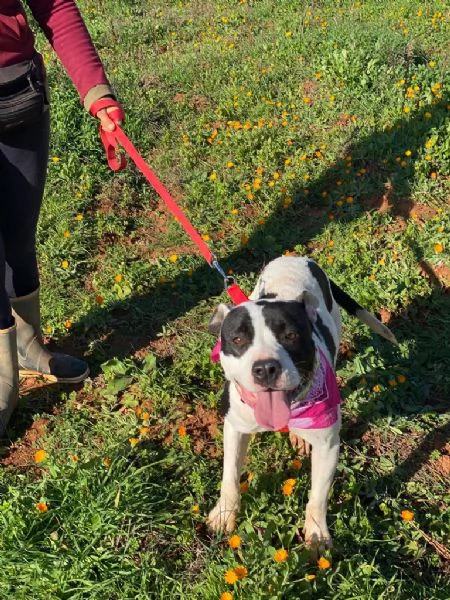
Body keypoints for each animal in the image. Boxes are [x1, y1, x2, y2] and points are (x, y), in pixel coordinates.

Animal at [207, 255, 398, 548]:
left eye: (291, 336)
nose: (265, 368)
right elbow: (229, 477)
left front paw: (317, 534)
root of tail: (296, 257)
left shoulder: (327, 446)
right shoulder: (235, 428)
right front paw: (224, 514)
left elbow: (317, 497)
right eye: (238, 339)